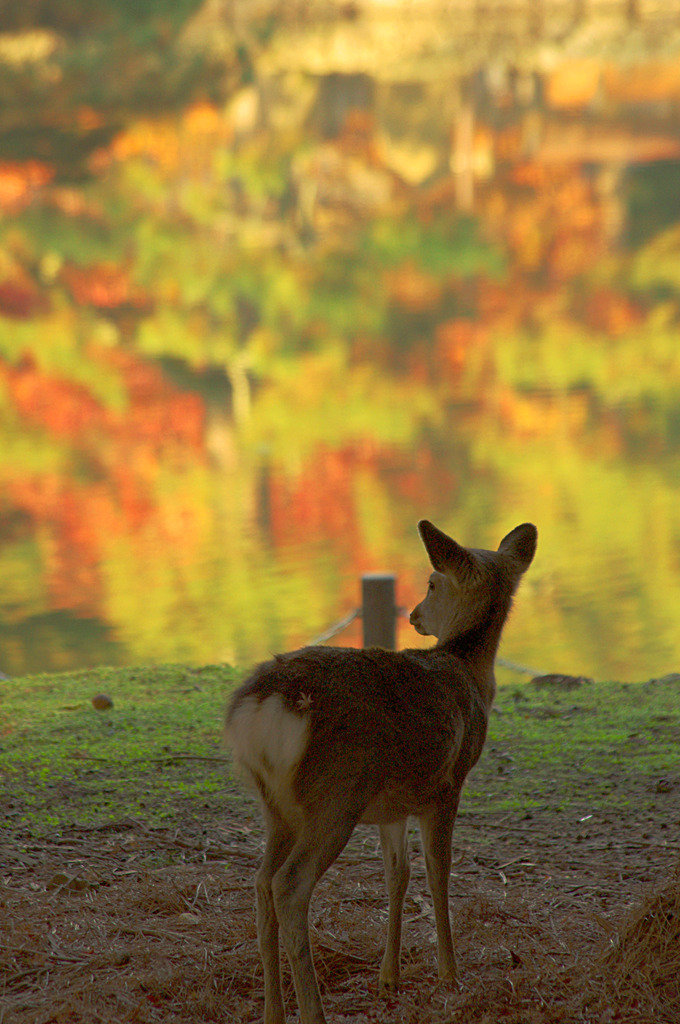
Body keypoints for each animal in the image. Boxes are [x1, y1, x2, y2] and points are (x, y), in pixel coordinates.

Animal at [225, 520, 540, 1024]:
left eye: (430, 584)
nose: (413, 615)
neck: (472, 676)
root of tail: (261, 707)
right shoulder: (448, 783)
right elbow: (438, 870)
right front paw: (450, 974)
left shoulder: (393, 805)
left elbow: (398, 875)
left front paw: (388, 978)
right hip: (337, 793)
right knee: (288, 886)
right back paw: (313, 1011)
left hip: (276, 803)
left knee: (260, 884)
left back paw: (274, 1010)